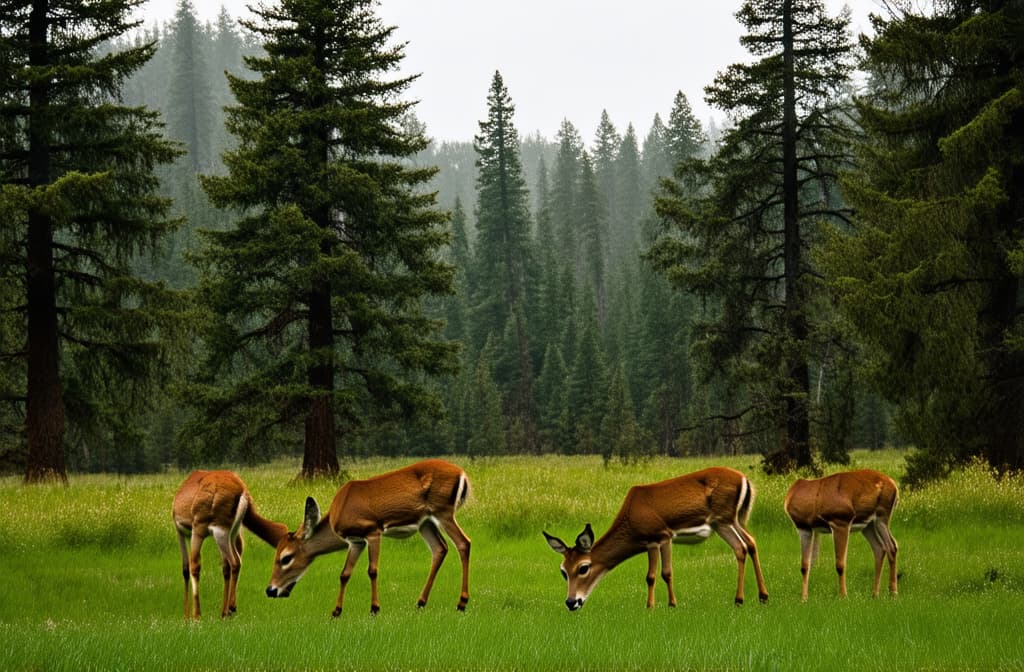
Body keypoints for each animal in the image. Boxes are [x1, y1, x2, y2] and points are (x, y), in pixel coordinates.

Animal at [169, 467, 286, 618]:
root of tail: (243, 490)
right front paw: (189, 614)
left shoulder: (189, 531)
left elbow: (190, 567)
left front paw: (193, 615)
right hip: (232, 532)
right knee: (230, 564)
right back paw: (226, 611)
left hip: (220, 531)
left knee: (234, 561)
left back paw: (230, 608)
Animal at [264, 458, 471, 618]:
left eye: (286, 558)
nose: (270, 590)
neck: (340, 511)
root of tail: (463, 474)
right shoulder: (356, 541)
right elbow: (345, 573)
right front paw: (336, 611)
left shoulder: (372, 531)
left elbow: (372, 570)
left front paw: (374, 608)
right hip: (426, 522)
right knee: (440, 548)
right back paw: (421, 602)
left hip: (443, 511)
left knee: (463, 543)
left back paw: (461, 603)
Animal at [544, 467, 770, 610]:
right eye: (563, 571)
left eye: (583, 568)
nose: (571, 602)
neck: (631, 520)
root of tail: (745, 480)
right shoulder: (649, 542)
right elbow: (652, 575)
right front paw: (654, 604)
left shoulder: (662, 535)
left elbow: (662, 573)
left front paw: (666, 605)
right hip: (728, 521)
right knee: (747, 544)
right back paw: (757, 597)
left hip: (725, 518)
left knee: (744, 544)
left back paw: (745, 598)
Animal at [782, 469, 897, 602]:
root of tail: (893, 484)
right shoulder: (804, 528)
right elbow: (805, 566)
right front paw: (804, 599)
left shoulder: (840, 522)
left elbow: (840, 564)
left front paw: (843, 596)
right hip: (868, 525)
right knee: (881, 548)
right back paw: (876, 594)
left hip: (882, 517)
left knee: (891, 546)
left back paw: (893, 592)